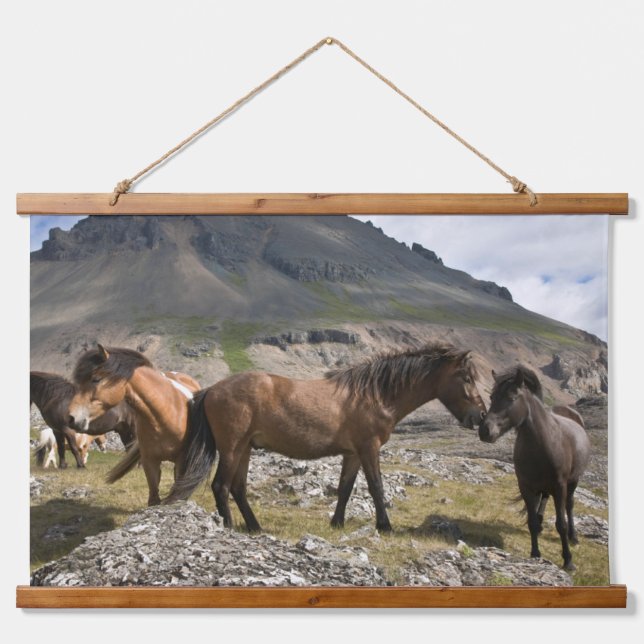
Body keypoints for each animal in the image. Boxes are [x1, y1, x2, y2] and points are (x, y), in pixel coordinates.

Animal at [67, 348, 201, 505]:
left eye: (96, 379)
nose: (71, 418)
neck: (165, 415)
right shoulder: (149, 462)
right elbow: (154, 499)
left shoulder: (181, 461)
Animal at [478, 366, 591, 570]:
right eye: (491, 397)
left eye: (512, 397)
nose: (485, 430)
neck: (544, 443)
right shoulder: (526, 487)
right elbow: (531, 521)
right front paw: (535, 554)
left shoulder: (560, 486)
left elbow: (561, 524)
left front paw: (568, 561)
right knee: (544, 501)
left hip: (573, 481)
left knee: (569, 506)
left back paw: (574, 537)